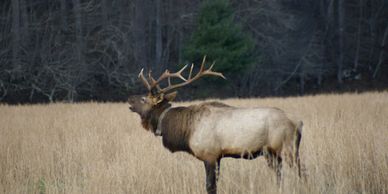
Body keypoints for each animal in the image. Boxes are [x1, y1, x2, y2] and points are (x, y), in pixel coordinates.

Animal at [128, 56, 304, 194]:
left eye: (143, 99)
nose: (129, 98)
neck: (185, 131)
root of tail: (299, 123)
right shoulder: (218, 157)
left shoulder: (209, 155)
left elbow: (210, 187)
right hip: (272, 153)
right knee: (280, 177)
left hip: (288, 148)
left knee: (301, 173)